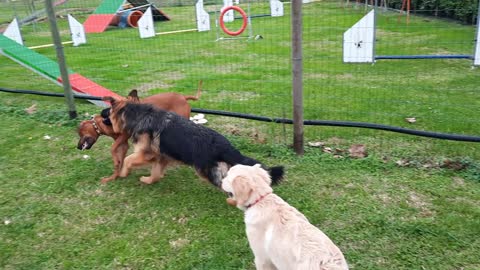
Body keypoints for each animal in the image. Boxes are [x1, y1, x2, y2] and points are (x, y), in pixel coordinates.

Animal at [100, 96, 282, 188]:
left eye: (108, 111)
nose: (99, 113)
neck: (138, 114)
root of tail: (224, 145)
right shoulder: (161, 157)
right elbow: (156, 173)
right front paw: (149, 180)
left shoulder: (147, 153)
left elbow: (128, 159)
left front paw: (123, 173)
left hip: (205, 171)